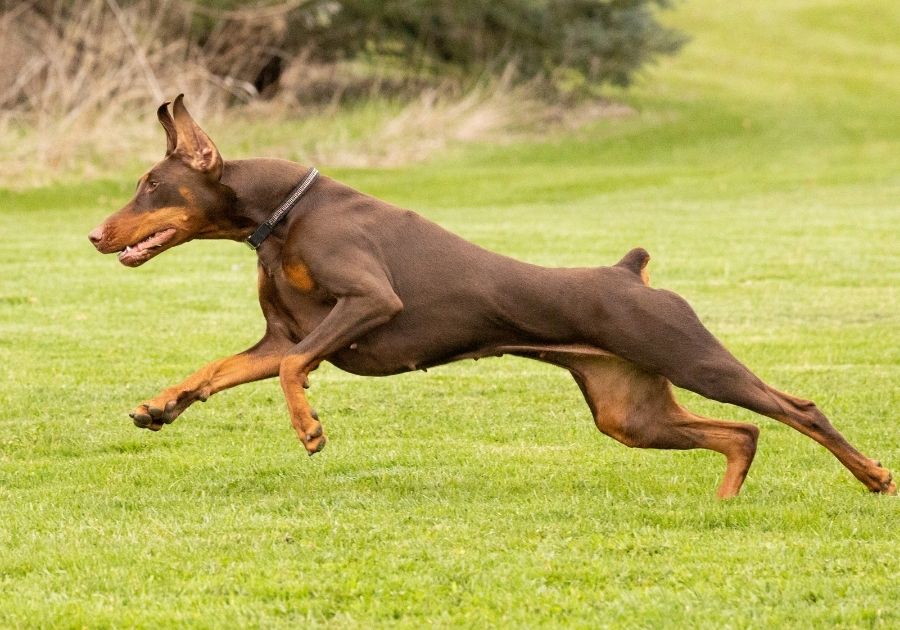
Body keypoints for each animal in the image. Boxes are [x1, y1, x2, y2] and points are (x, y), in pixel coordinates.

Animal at [86, 96, 892, 498]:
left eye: (150, 186)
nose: (94, 234)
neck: (284, 216)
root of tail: (629, 272)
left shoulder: (369, 303)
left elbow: (292, 372)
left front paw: (310, 428)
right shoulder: (282, 334)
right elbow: (219, 370)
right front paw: (161, 406)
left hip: (693, 358)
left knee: (796, 410)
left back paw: (874, 476)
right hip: (626, 412)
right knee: (743, 433)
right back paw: (723, 507)